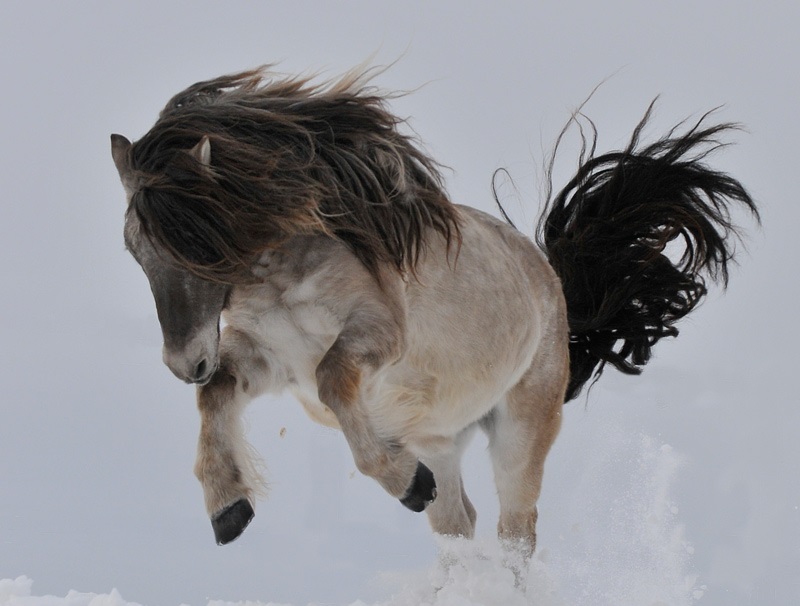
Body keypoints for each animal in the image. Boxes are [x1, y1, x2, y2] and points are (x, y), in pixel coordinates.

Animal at [111, 66, 756, 556]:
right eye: (135, 250)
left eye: (199, 244)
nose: (182, 362)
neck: (281, 276)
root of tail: (552, 287)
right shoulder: (268, 359)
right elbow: (217, 394)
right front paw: (229, 508)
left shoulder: (375, 335)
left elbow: (334, 379)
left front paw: (401, 483)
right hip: (439, 443)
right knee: (457, 523)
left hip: (519, 433)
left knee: (515, 532)